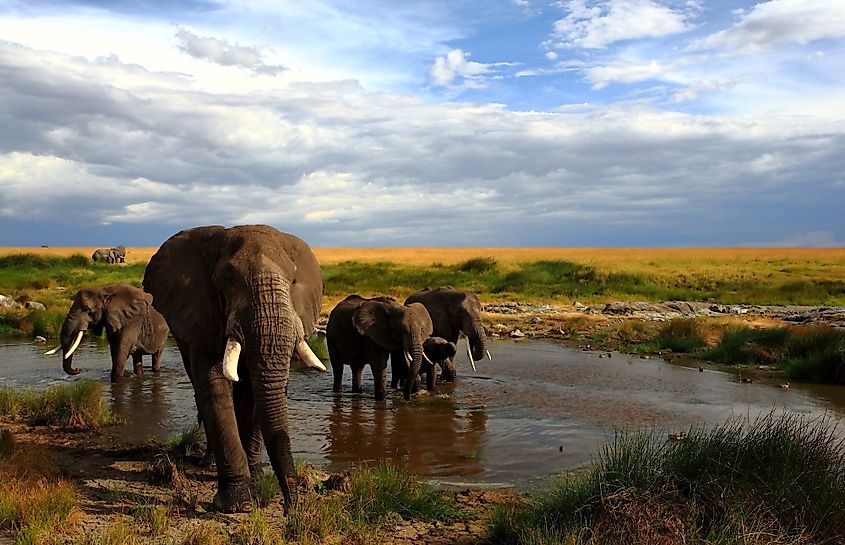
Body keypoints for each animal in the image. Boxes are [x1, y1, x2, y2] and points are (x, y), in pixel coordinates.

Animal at [140, 225, 324, 516]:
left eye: (293, 280)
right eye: (227, 280)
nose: (289, 510)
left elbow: (258, 394)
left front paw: (257, 482)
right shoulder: (203, 315)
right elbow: (215, 388)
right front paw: (238, 505)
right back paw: (209, 464)